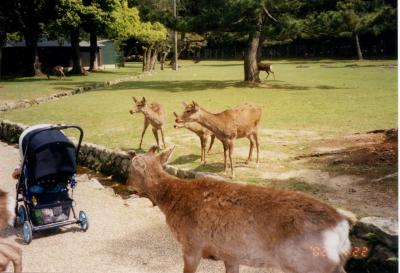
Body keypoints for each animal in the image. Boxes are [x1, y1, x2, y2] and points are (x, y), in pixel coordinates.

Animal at [126, 147, 352, 272]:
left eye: (130, 169)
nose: (126, 185)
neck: (171, 202)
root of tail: (342, 228)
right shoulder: (230, 254)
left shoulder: (191, 245)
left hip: (309, 263)